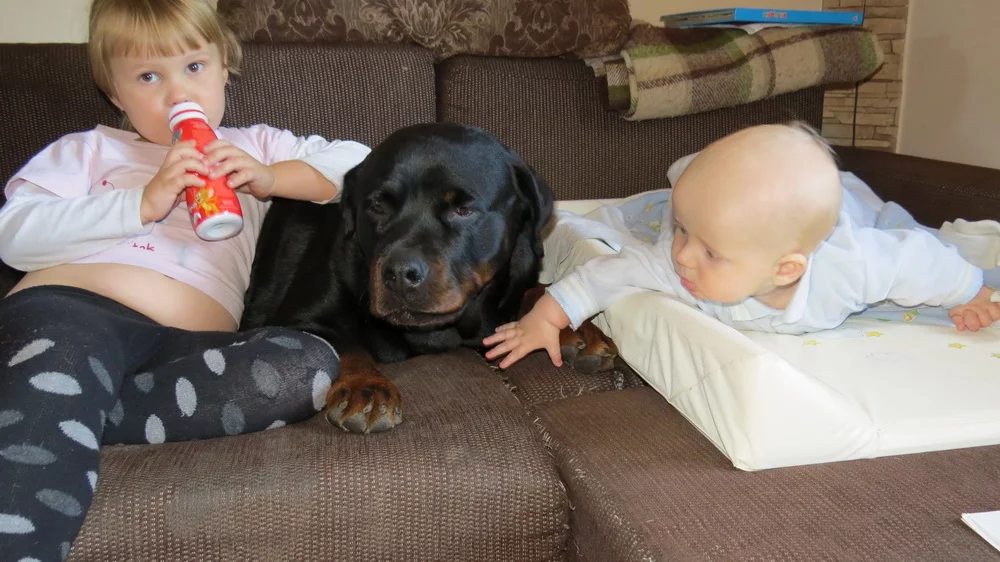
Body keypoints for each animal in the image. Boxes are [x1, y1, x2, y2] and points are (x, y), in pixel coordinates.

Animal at [241, 123, 555, 433]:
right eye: (377, 207)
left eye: (463, 209)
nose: (401, 273)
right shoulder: (298, 319)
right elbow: (344, 345)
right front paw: (365, 387)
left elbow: (535, 292)